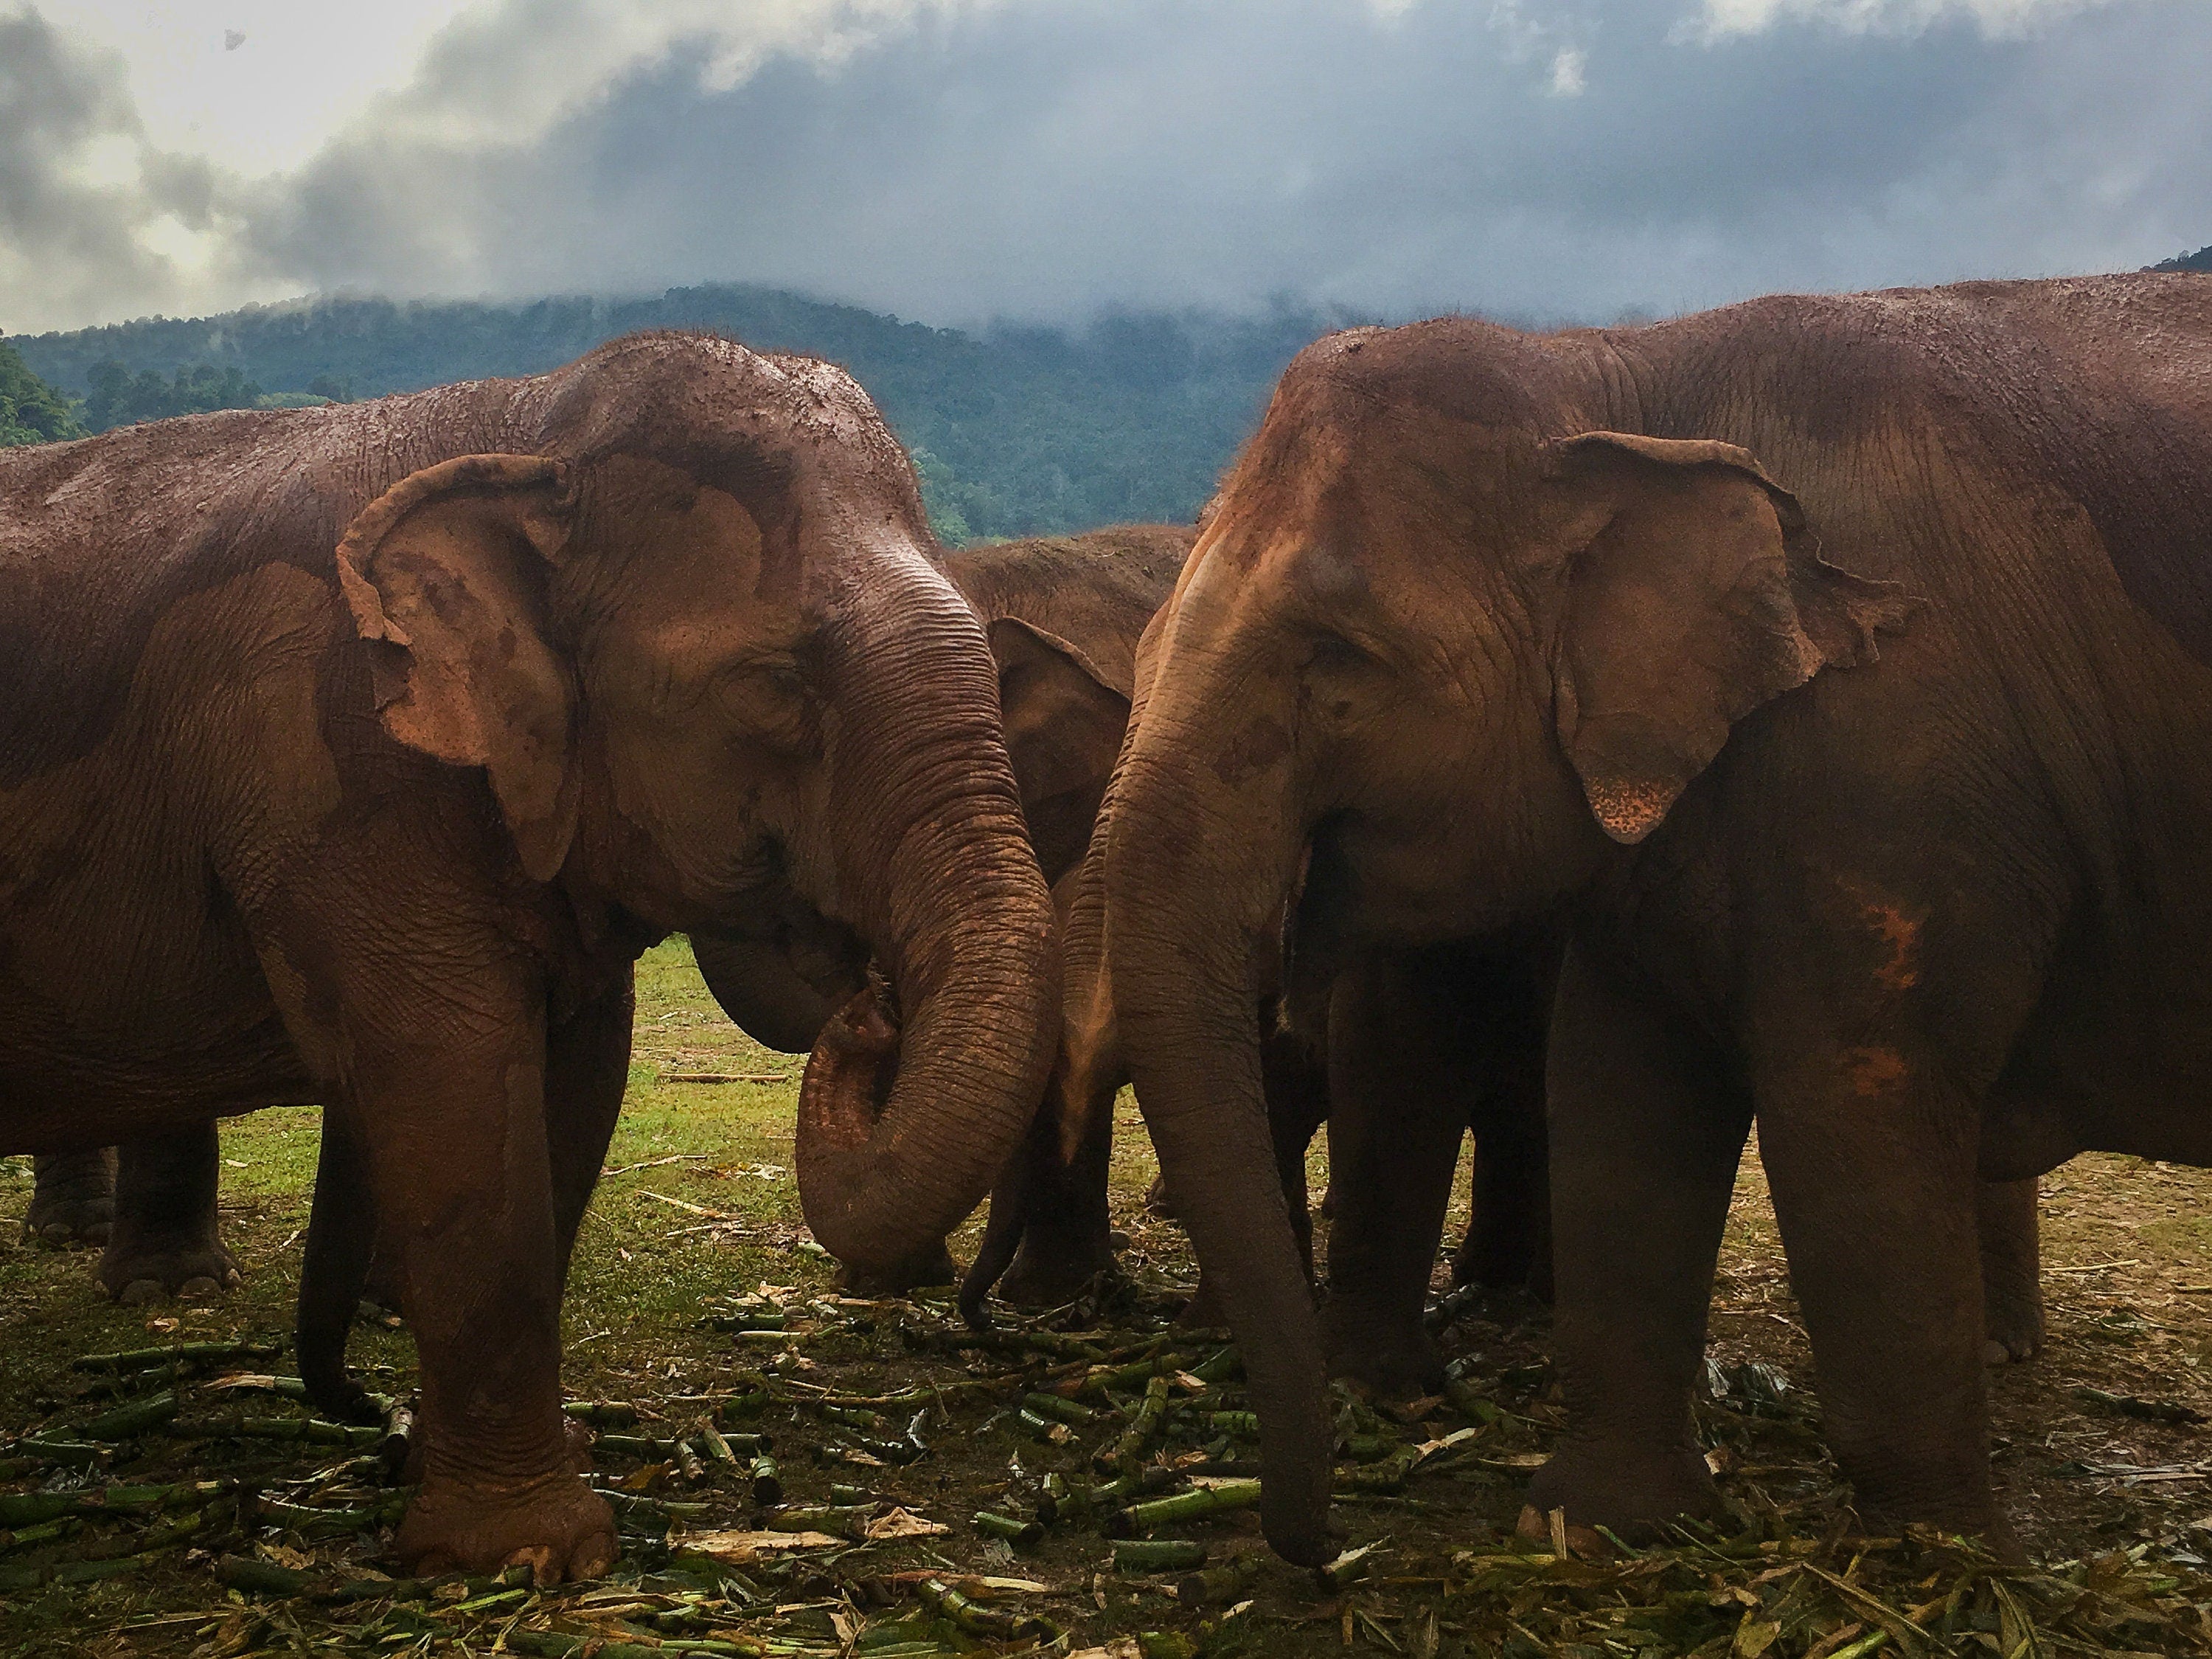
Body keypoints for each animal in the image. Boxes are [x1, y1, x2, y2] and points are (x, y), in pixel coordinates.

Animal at [0, 332, 1058, 1580]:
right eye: (774, 683)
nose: (876, 1004)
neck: (526, 424)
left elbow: (570, 1091)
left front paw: (475, 1490)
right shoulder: (340, 771)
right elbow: (452, 1078)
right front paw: (526, 1556)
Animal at [1094, 274, 2208, 1563]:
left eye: (1337, 658)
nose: (1318, 1548)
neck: (1618, 378)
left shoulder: (1901, 764)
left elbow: (1854, 1114)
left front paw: (1946, 1556)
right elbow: (1619, 1097)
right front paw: (1595, 1522)